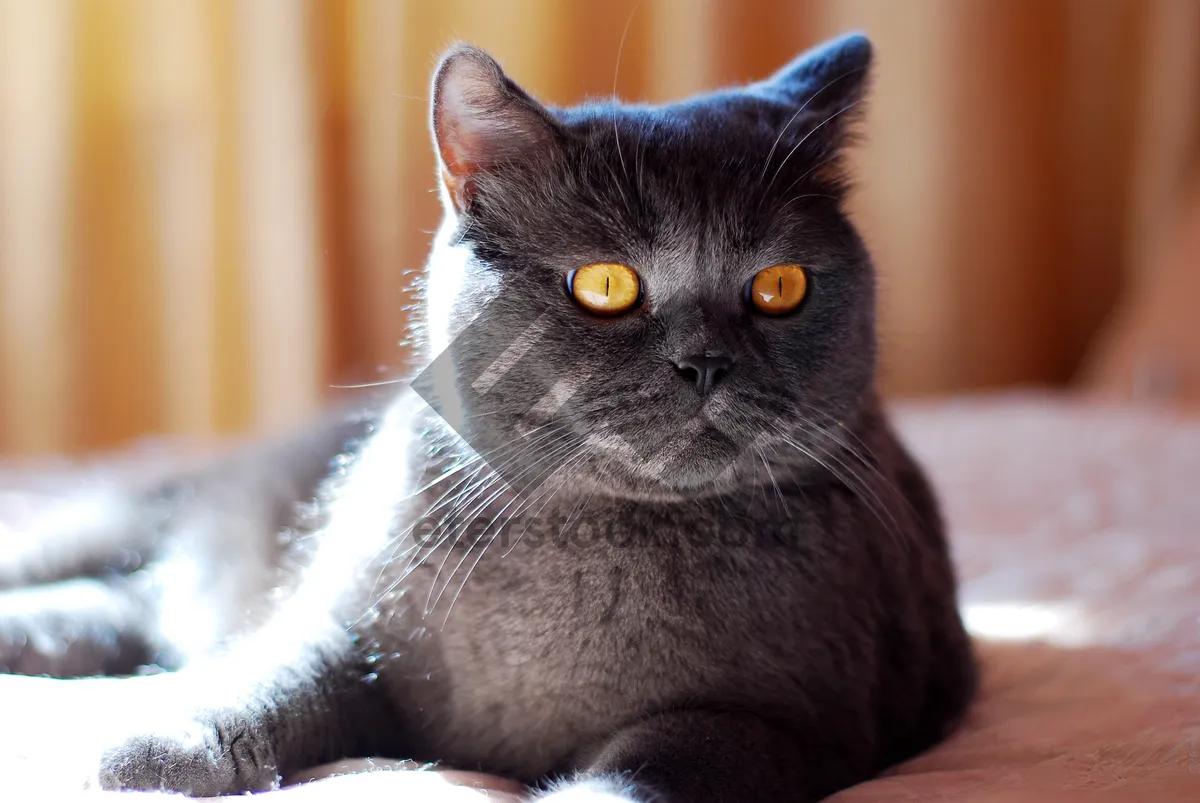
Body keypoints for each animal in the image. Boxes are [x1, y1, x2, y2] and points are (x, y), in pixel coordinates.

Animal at [0, 36, 974, 801]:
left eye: (780, 286)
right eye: (606, 284)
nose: (706, 362)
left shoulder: (783, 722)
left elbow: (656, 767)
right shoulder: (352, 630)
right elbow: (271, 672)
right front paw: (158, 749)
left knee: (114, 609)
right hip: (117, 523)